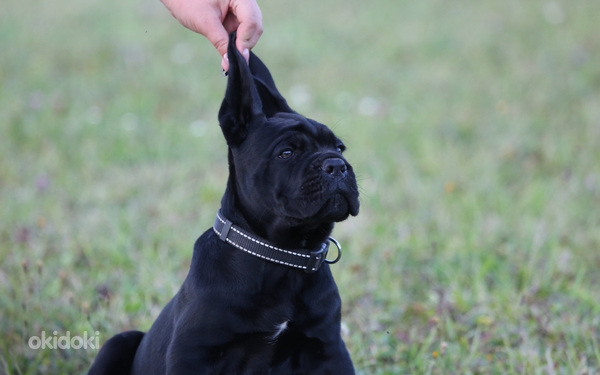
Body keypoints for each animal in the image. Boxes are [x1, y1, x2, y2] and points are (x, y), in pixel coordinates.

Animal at [89, 33, 358, 375]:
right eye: (286, 152)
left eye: (339, 147)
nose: (337, 165)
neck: (282, 256)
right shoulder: (193, 354)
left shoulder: (328, 348)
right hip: (118, 341)